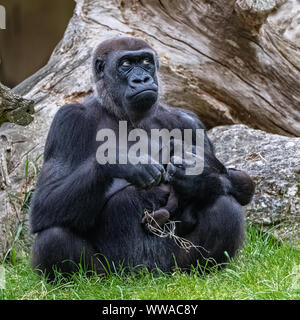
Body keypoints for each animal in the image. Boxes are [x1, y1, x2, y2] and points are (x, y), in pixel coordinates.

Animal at [29, 37, 255, 278]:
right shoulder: (68, 120)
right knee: (53, 235)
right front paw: (123, 160)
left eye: (146, 61)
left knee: (225, 206)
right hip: (112, 274)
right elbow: (45, 200)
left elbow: (239, 181)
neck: (123, 114)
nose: (142, 79)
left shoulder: (190, 121)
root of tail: (147, 277)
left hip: (175, 268)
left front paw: (197, 178)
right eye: (126, 64)